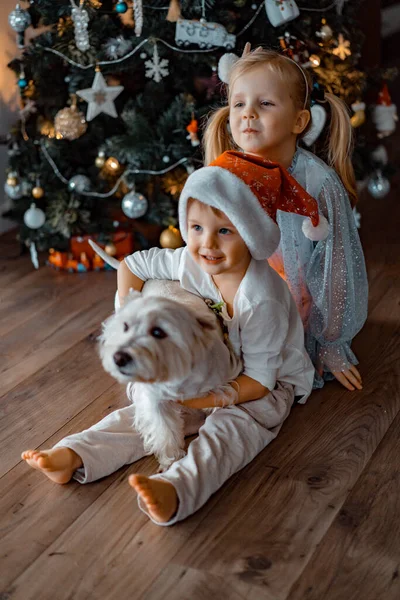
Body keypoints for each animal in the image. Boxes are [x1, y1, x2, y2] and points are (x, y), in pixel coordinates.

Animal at [92, 241, 242, 472]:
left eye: (158, 332)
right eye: (125, 327)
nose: (119, 358)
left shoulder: (221, 383)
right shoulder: (155, 400)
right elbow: (164, 428)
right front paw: (170, 459)